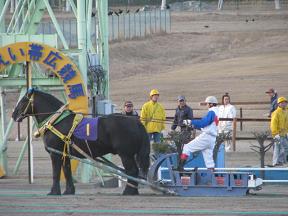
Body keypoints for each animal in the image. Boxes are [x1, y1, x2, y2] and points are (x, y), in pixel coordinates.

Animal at [12, 89, 150, 196]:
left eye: (23, 100)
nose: (13, 115)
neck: (56, 121)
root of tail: (135, 121)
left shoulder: (55, 153)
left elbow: (56, 173)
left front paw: (54, 191)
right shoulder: (65, 154)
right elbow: (67, 171)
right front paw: (69, 191)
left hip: (126, 155)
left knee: (132, 171)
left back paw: (129, 191)